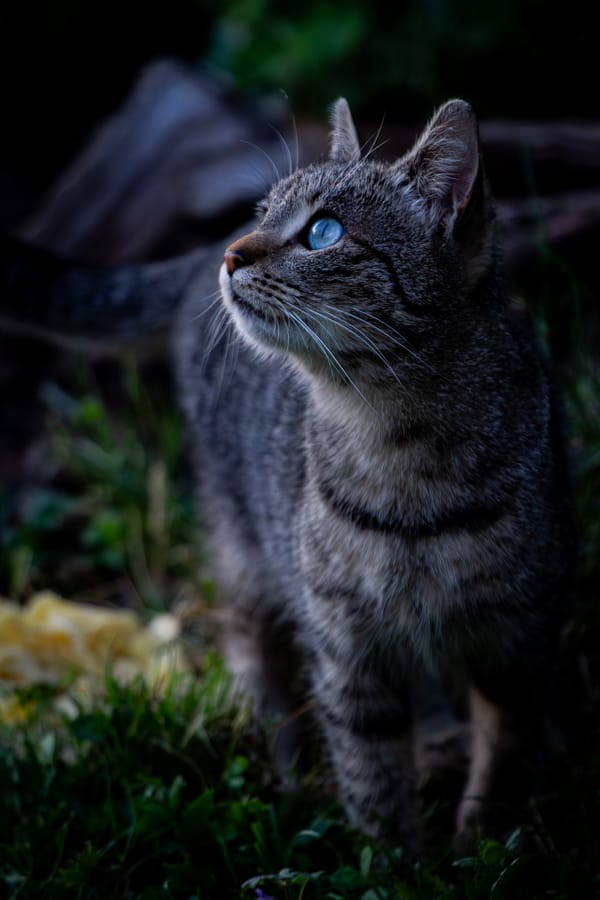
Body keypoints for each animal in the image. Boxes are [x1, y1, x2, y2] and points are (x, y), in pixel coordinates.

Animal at [0, 98, 580, 852]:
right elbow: (371, 778)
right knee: (251, 646)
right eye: (263, 211)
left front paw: (476, 847)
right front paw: (395, 861)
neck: (405, 463)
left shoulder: (520, 646)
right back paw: (280, 759)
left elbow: (503, 764)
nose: (233, 251)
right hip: (243, 544)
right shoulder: (345, 649)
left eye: (322, 232)